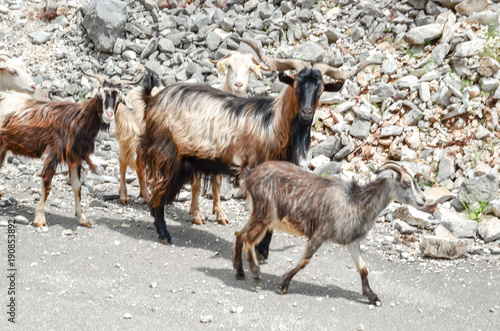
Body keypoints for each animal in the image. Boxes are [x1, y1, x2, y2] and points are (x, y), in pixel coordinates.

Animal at [0, 70, 136, 228]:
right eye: (99, 95)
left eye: (119, 99)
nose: (108, 115)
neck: (77, 121)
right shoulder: (53, 153)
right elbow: (47, 185)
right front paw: (39, 218)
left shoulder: (74, 157)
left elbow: (77, 186)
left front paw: (82, 217)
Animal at [139, 40, 376, 245]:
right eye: (296, 84)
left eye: (321, 89)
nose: (306, 113)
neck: (271, 124)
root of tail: (152, 100)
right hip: (167, 155)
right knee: (159, 193)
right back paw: (164, 234)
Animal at [233, 161, 426, 306]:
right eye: (406, 183)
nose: (423, 200)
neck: (355, 202)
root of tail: (250, 175)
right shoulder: (320, 233)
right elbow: (304, 261)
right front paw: (283, 285)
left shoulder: (352, 241)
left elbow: (363, 268)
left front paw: (373, 297)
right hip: (266, 214)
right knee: (247, 238)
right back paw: (256, 274)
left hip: (258, 214)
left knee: (238, 233)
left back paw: (240, 271)